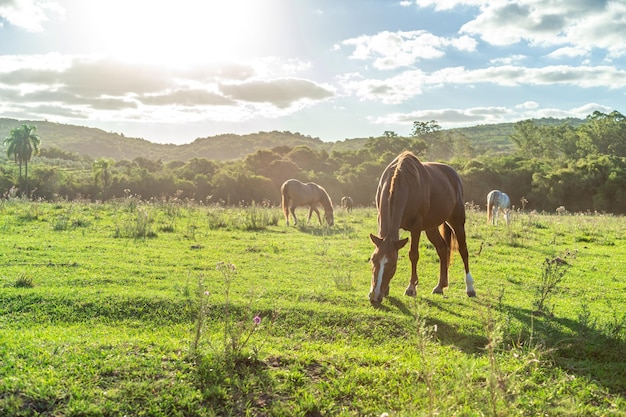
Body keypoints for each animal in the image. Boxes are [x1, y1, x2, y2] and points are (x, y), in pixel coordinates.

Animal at [366, 151, 472, 304]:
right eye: (373, 260)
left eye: (393, 265)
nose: (375, 296)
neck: (403, 181)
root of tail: (453, 175)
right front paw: (386, 290)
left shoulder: (416, 227)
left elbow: (413, 255)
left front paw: (411, 288)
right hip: (431, 227)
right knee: (442, 248)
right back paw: (440, 286)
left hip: (457, 221)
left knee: (463, 250)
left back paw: (470, 288)